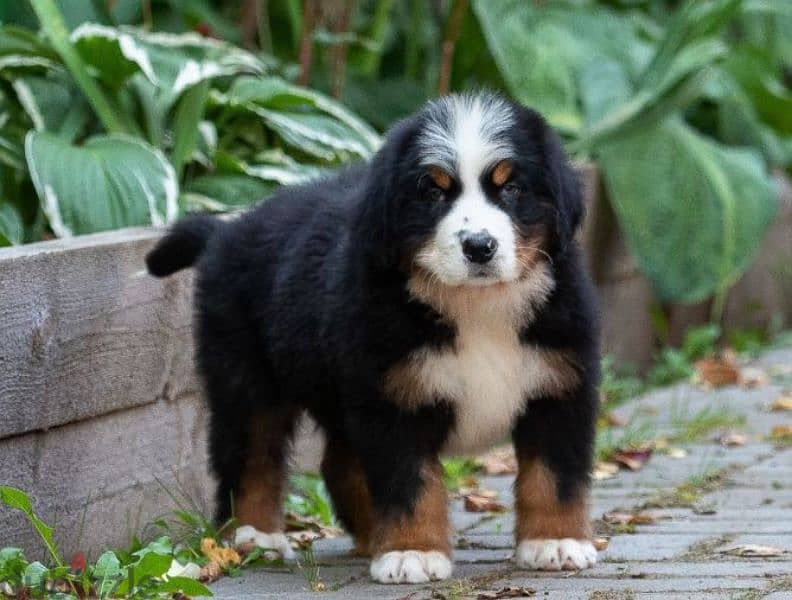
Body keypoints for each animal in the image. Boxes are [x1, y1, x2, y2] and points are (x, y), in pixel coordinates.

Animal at [145, 91, 596, 584]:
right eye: (433, 192)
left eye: (511, 188)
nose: (479, 246)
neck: (477, 307)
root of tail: (227, 229)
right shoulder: (394, 398)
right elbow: (409, 482)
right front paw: (412, 550)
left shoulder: (560, 386)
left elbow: (553, 475)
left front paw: (555, 541)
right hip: (246, 376)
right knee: (250, 454)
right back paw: (255, 536)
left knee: (338, 464)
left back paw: (367, 536)